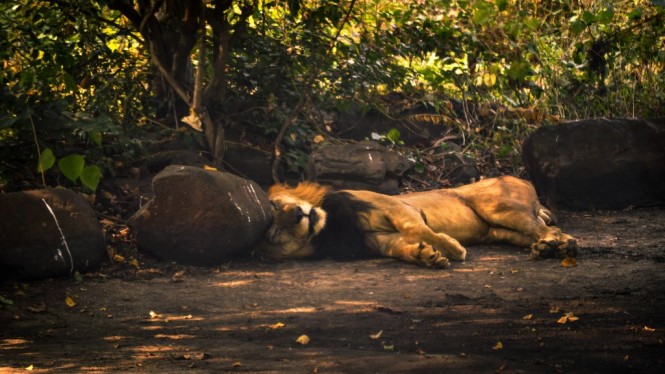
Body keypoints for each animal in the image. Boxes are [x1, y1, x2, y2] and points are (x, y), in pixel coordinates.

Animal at [260, 177, 576, 268]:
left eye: (277, 204)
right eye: (274, 232)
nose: (298, 215)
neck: (331, 228)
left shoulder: (393, 205)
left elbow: (416, 227)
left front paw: (451, 248)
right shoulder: (380, 241)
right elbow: (402, 247)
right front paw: (427, 256)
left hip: (497, 206)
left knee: (549, 228)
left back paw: (557, 244)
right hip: (497, 230)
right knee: (535, 234)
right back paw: (548, 248)